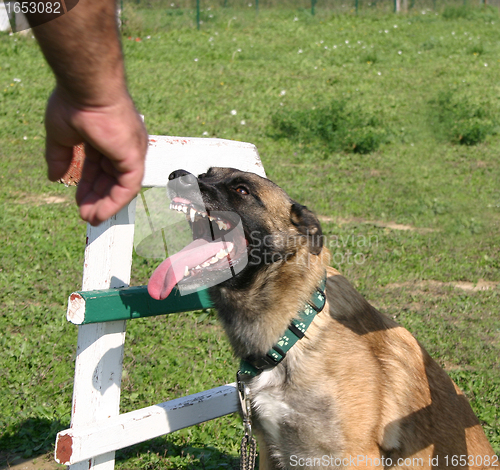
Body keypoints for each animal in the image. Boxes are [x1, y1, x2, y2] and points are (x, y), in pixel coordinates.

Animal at [146, 167, 494, 468]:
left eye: (242, 190)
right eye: (205, 173)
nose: (176, 175)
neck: (293, 333)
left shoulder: (355, 457)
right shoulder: (270, 451)